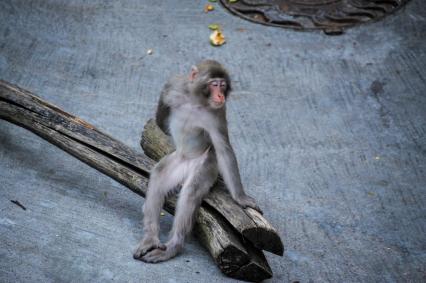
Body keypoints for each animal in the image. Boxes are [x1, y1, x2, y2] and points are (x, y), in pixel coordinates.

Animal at [133, 60, 262, 264]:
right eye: (214, 84)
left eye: (223, 85)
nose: (220, 95)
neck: (195, 101)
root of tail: (187, 162)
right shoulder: (174, 85)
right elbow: (161, 114)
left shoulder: (217, 113)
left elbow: (223, 149)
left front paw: (241, 198)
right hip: (178, 161)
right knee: (159, 176)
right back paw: (150, 238)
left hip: (207, 163)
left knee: (191, 191)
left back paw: (174, 246)